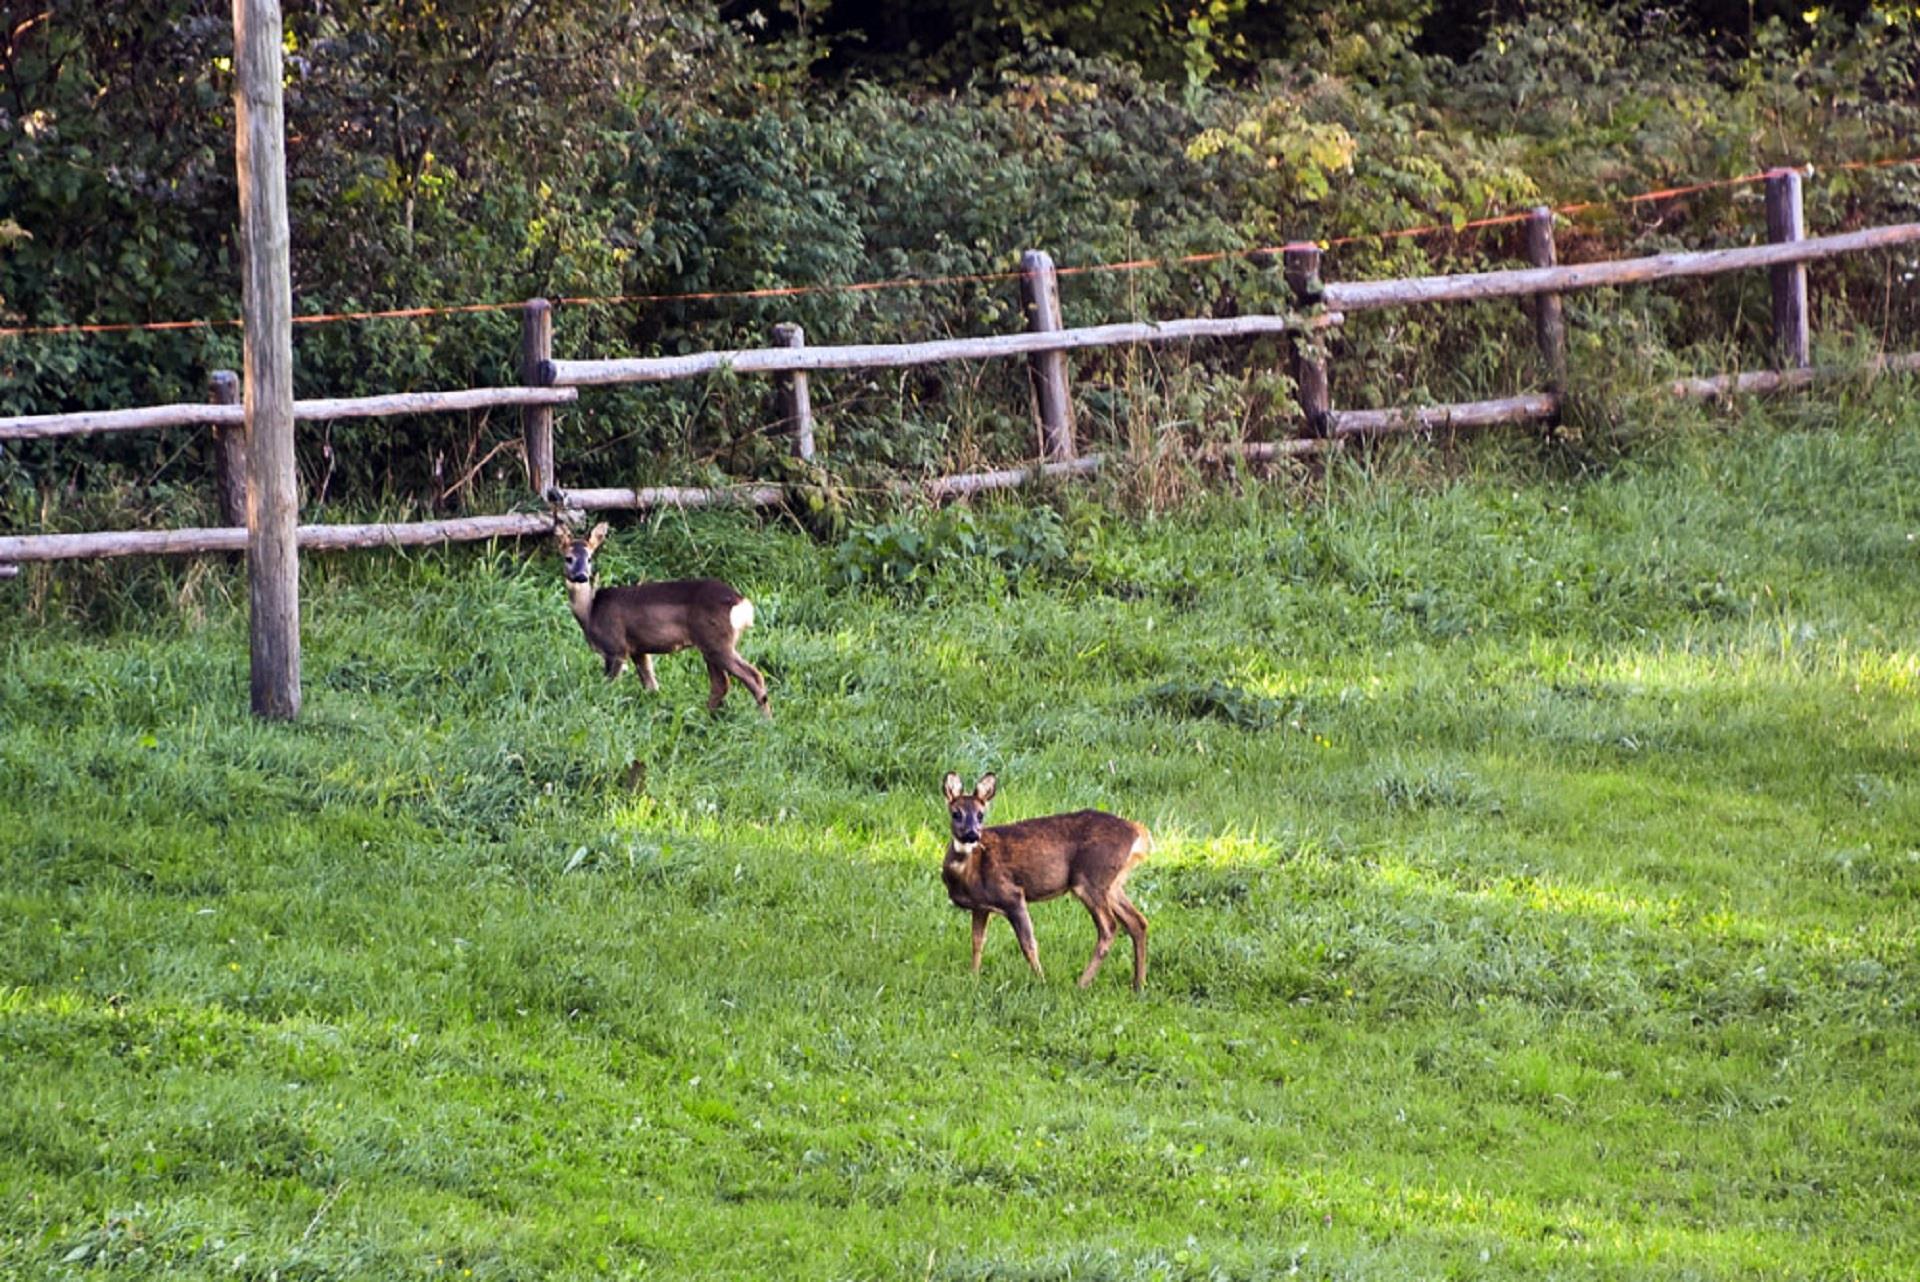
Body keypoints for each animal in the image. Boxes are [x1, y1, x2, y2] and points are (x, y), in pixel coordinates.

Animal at [552, 522, 768, 721]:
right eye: (568, 558)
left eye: (589, 558)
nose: (581, 576)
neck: (591, 612)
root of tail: (742, 603)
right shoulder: (638, 650)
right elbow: (651, 685)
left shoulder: (616, 647)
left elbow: (609, 685)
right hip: (710, 644)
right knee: (721, 683)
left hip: (717, 641)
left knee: (752, 676)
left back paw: (764, 720)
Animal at [944, 771, 1152, 990]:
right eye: (956, 813)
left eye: (980, 815)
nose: (972, 834)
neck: (969, 871)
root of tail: (1139, 832)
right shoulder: (981, 907)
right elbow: (977, 942)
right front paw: (973, 978)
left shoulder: (1012, 895)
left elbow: (1028, 944)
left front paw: (1041, 981)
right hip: (1111, 885)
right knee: (1138, 922)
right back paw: (1138, 984)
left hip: (1090, 878)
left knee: (1109, 927)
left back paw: (1081, 984)